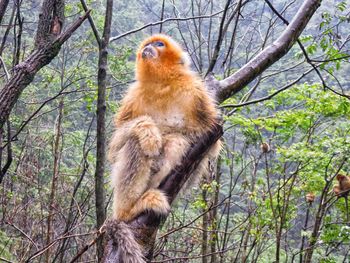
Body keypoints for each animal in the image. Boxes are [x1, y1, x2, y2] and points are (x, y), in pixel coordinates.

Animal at [108, 34, 220, 260]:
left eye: (159, 44)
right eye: (148, 44)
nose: (148, 48)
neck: (161, 84)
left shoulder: (197, 95)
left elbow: (209, 148)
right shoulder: (133, 96)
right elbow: (115, 150)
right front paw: (148, 130)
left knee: (177, 141)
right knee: (135, 143)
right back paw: (128, 210)